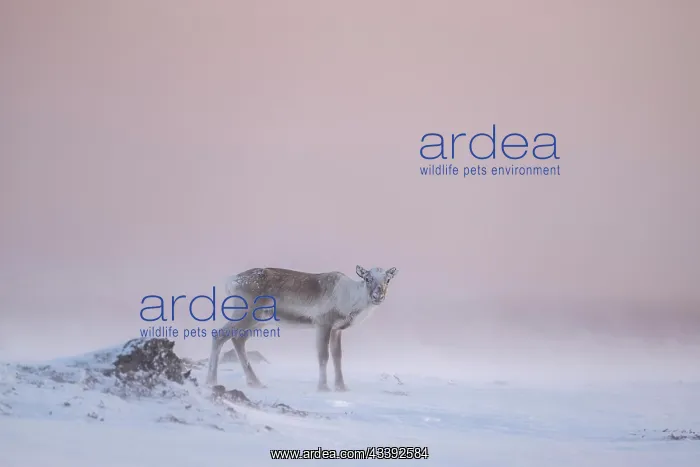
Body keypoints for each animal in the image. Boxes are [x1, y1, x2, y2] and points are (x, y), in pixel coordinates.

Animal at [206, 265, 398, 391]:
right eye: (367, 278)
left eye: (388, 280)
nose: (378, 295)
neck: (350, 301)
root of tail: (231, 281)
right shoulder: (323, 323)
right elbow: (323, 356)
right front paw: (323, 387)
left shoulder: (337, 329)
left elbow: (338, 357)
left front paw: (342, 387)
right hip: (245, 313)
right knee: (219, 335)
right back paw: (211, 381)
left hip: (258, 320)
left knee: (238, 339)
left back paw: (255, 382)